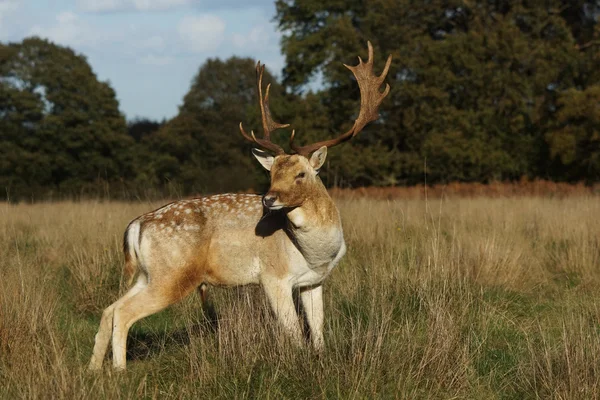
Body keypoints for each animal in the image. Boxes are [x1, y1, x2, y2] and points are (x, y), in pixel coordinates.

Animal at [86, 42, 392, 370]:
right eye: (272, 173)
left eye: (301, 174)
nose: (268, 199)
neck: (316, 252)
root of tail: (136, 224)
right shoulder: (273, 276)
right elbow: (294, 331)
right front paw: (298, 364)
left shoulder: (313, 281)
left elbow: (317, 327)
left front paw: (320, 359)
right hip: (173, 274)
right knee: (123, 312)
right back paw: (119, 369)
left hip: (148, 273)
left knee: (109, 309)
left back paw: (94, 369)